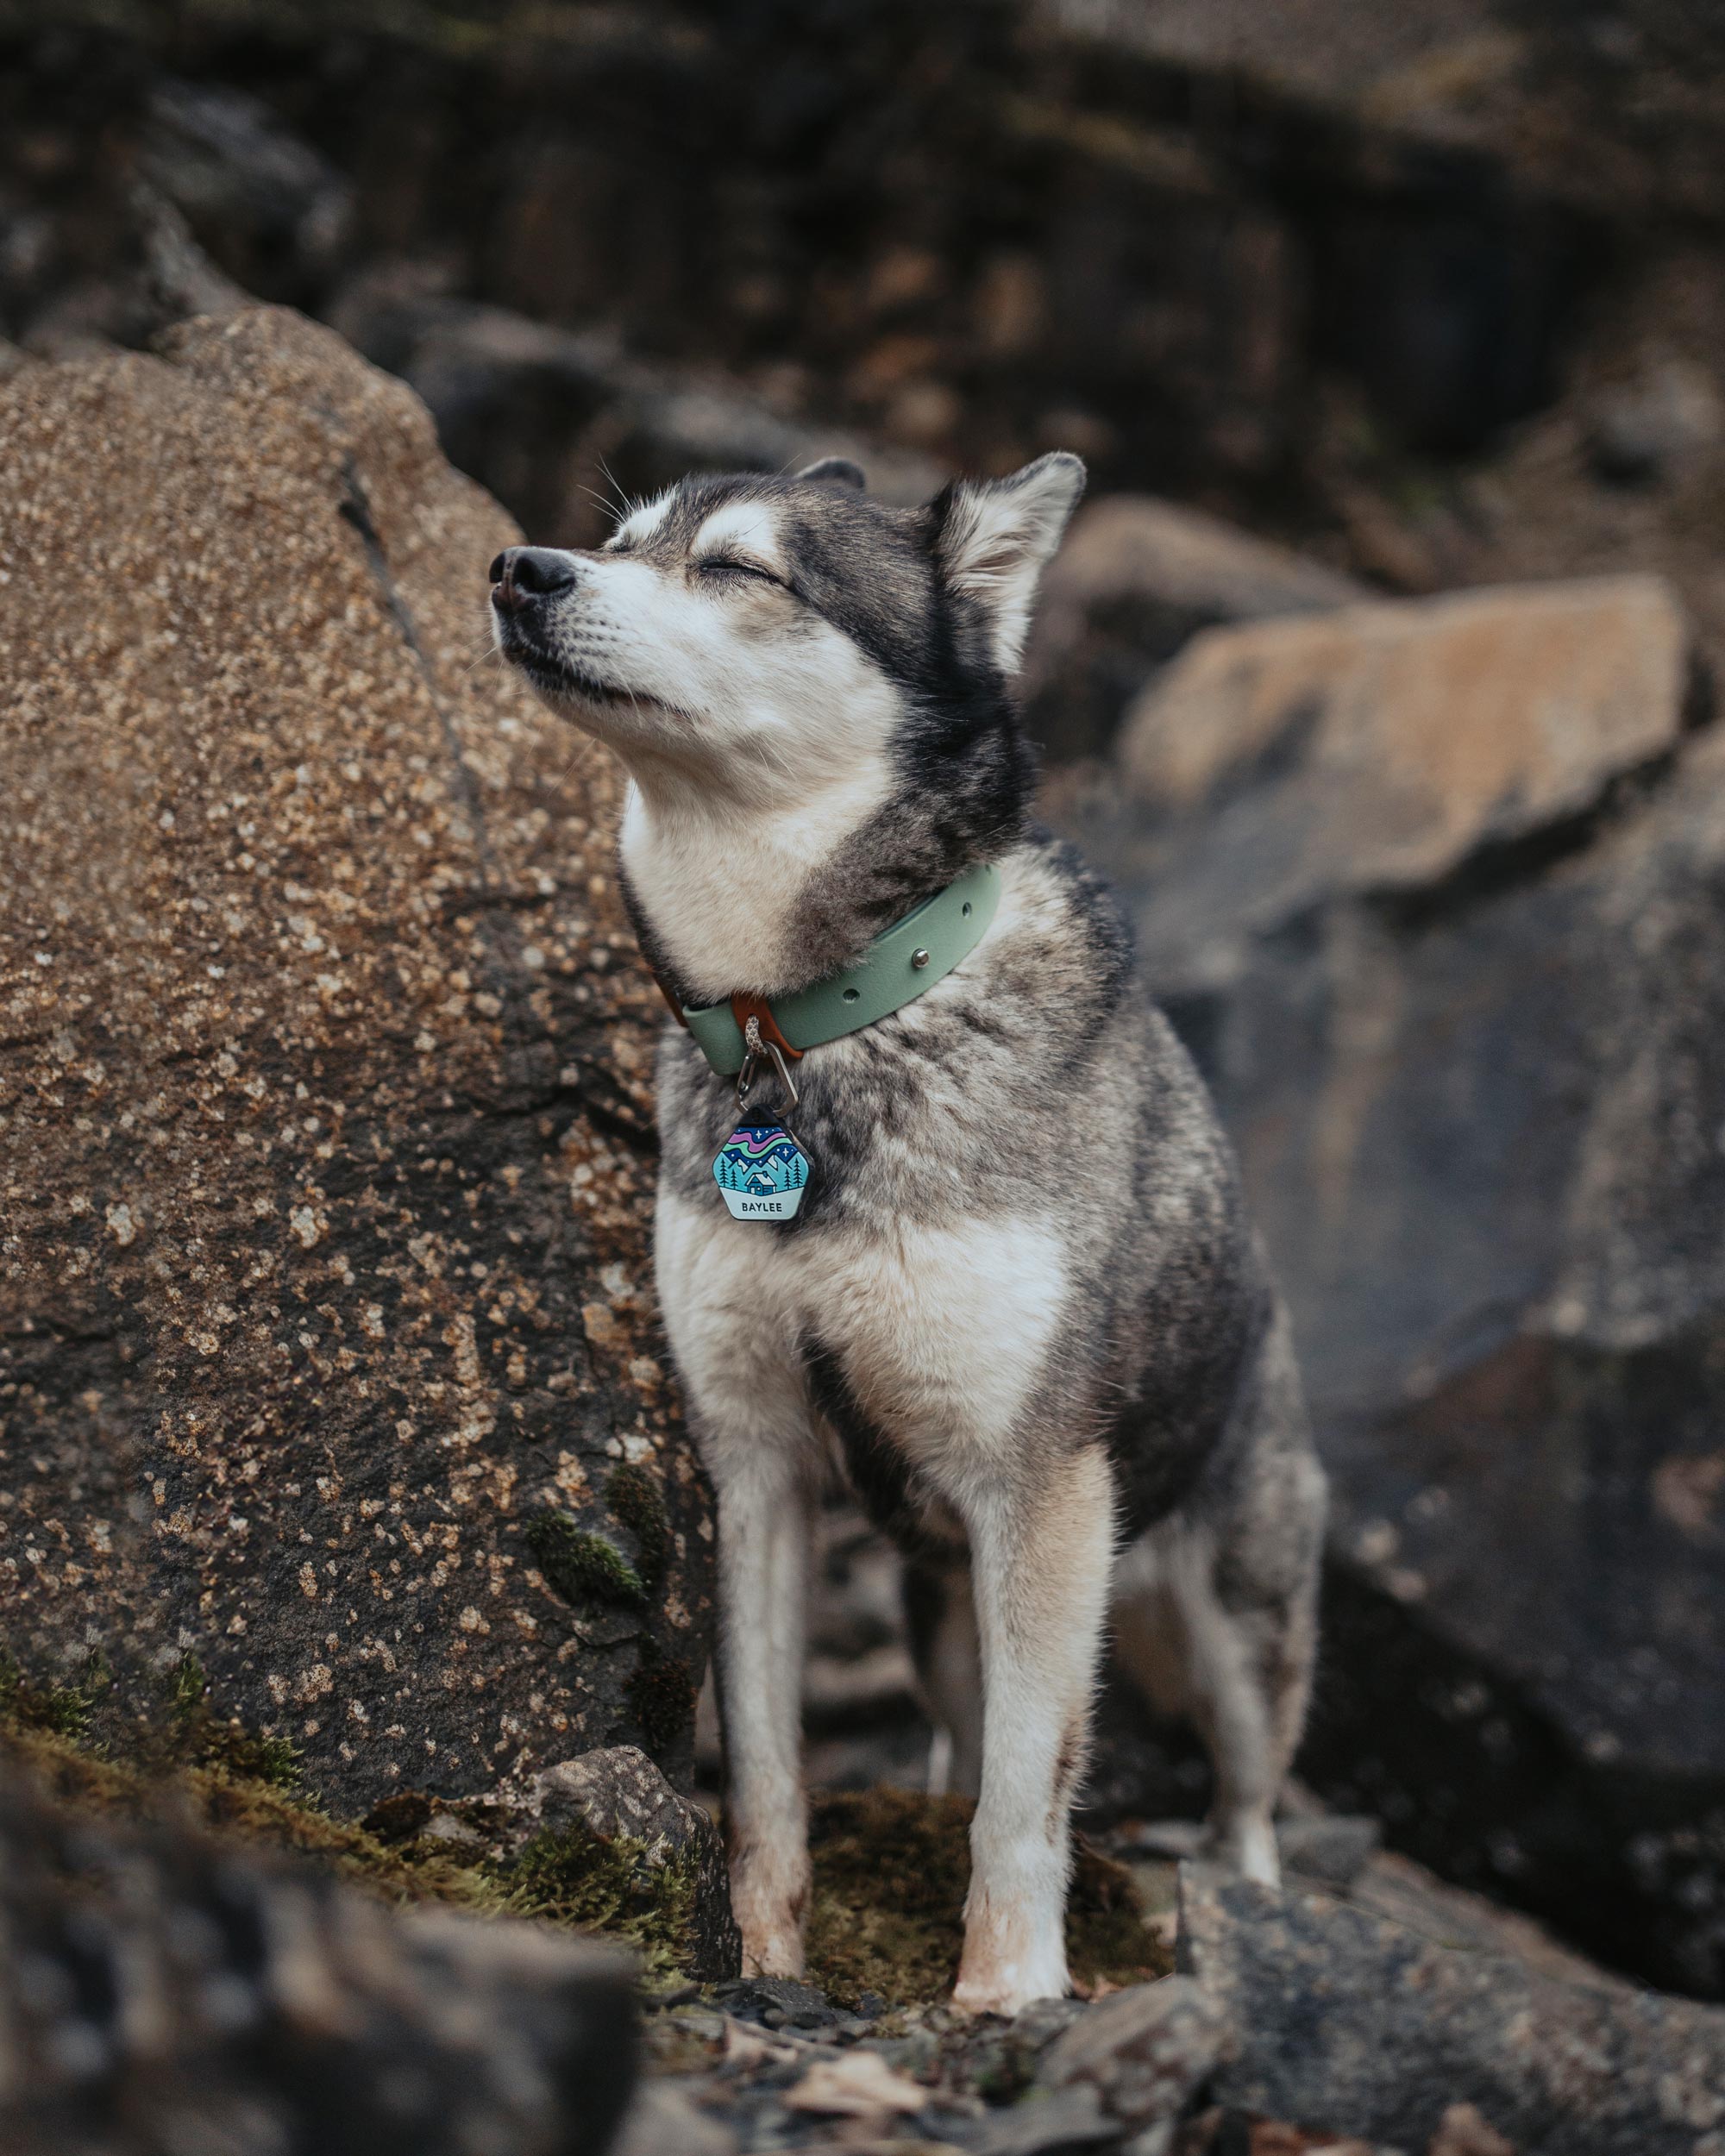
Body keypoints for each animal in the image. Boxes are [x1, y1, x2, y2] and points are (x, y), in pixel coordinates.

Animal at [492, 446, 1328, 2009]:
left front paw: (1008, 1991)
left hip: (1237, 1618)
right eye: (618, 541)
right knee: (959, 1730)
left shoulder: (1043, 1489)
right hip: (955, 1606)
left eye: (740, 568)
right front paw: (767, 1962)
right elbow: (769, 1770)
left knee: (1244, 1797)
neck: (813, 1032)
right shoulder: (754, 1462)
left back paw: (1260, 1917)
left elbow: (1027, 1793)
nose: (521, 570)